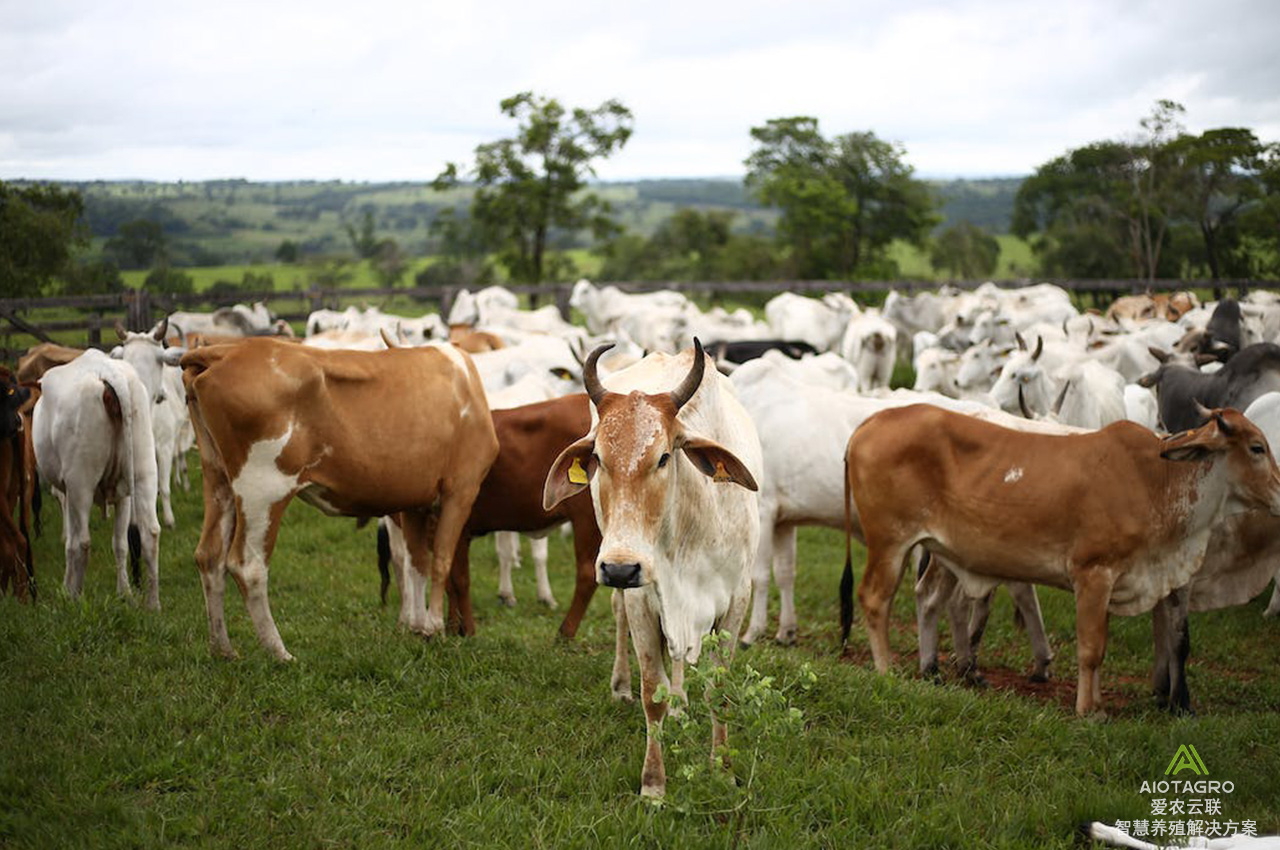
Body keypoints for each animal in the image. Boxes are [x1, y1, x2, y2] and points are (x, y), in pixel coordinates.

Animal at [31, 348, 162, 606]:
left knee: (82, 541)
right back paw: (152, 604)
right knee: (150, 533)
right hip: (143, 472)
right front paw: (124, 593)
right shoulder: (123, 496)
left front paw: (66, 589)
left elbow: (70, 542)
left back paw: (75, 599)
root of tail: (108, 372)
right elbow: (120, 544)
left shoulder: (67, 493)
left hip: (81, 483)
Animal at [181, 335, 499, 660]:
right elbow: (442, 561)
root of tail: (226, 350)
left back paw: (223, 649)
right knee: (248, 566)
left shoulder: (415, 501)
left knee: (209, 556)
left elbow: (418, 563)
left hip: (217, 478)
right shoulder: (461, 489)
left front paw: (419, 628)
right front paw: (434, 627)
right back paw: (280, 653)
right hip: (262, 489)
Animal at [540, 337, 757, 798]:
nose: (620, 569)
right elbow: (651, 693)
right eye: (599, 458)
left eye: (663, 457)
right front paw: (654, 785)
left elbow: (719, 689)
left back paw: (682, 703)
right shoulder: (641, 595)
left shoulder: (737, 598)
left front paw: (722, 769)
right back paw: (622, 685)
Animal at [839, 404, 1280, 716]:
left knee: (928, 598)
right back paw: (886, 670)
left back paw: (931, 671)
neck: (1156, 481)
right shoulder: (1093, 574)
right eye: (1257, 448)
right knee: (875, 599)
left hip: (938, 550)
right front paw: (1088, 711)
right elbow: (1091, 648)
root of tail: (871, 422)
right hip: (889, 543)